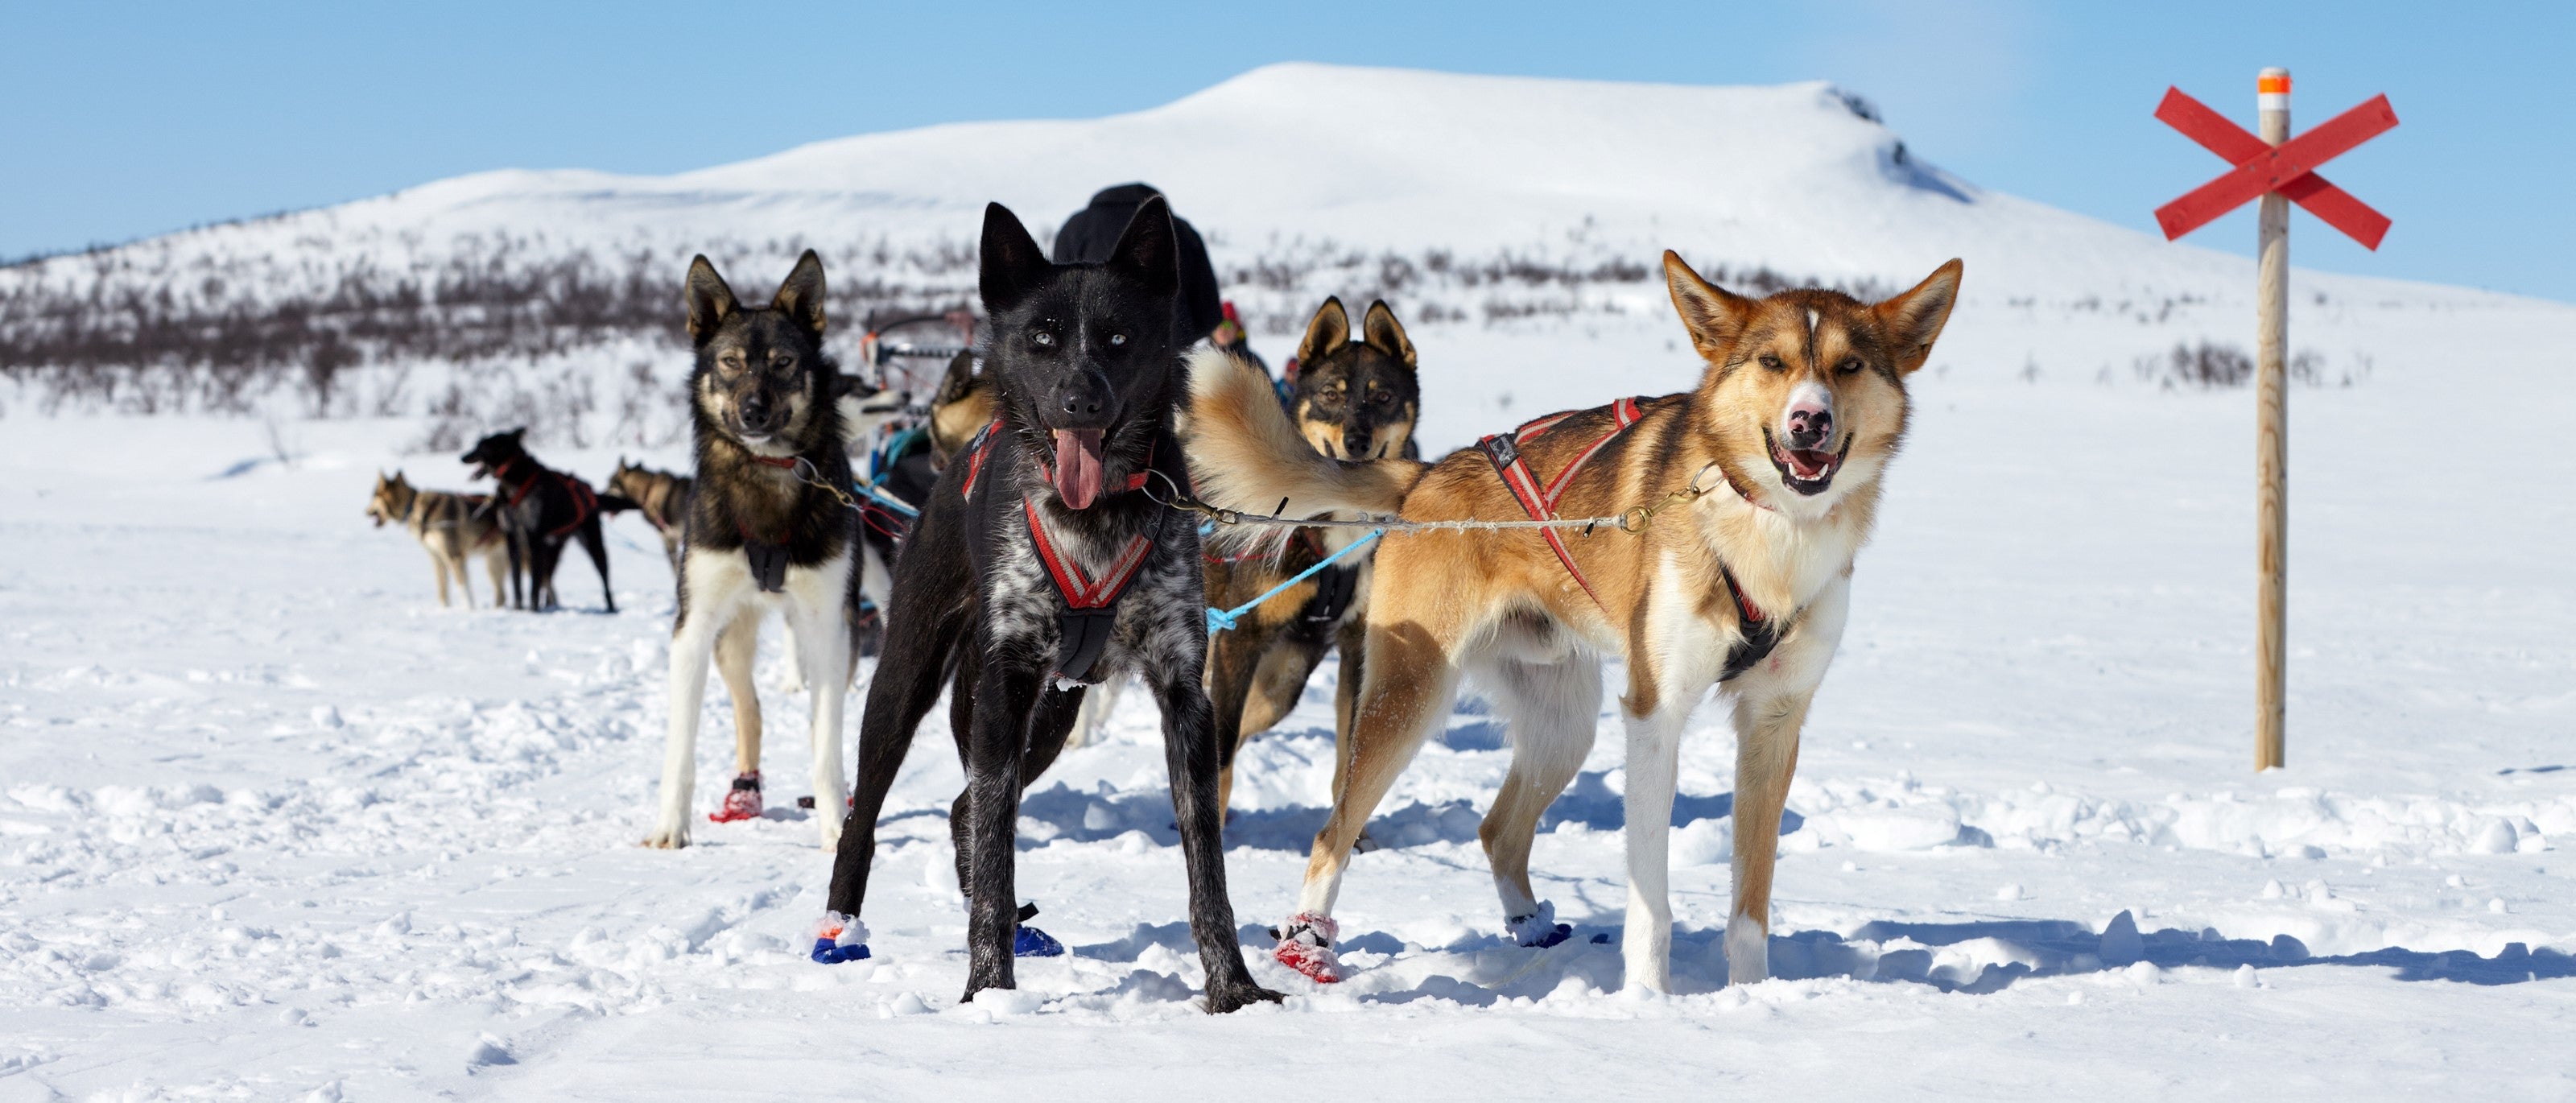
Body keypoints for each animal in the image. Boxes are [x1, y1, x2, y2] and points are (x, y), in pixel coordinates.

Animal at [368, 469, 507, 608]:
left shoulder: (454, 556)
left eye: (374, 496)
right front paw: (444, 610)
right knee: (502, 595)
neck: (415, 508)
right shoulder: (437, 558)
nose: (365, 512)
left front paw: (469, 610)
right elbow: (442, 589)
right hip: (494, 563)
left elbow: (464, 590)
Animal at [819, 200, 1282, 1015]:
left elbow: (1207, 863)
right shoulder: (1008, 685)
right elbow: (995, 860)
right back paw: (840, 929)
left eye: (1120, 337)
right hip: (911, 680)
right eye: (1043, 337)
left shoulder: (1182, 691)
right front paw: (988, 993)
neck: (1094, 518)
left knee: (965, 808)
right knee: (869, 817)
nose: (1081, 400)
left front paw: (1233, 988)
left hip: (1053, 715)